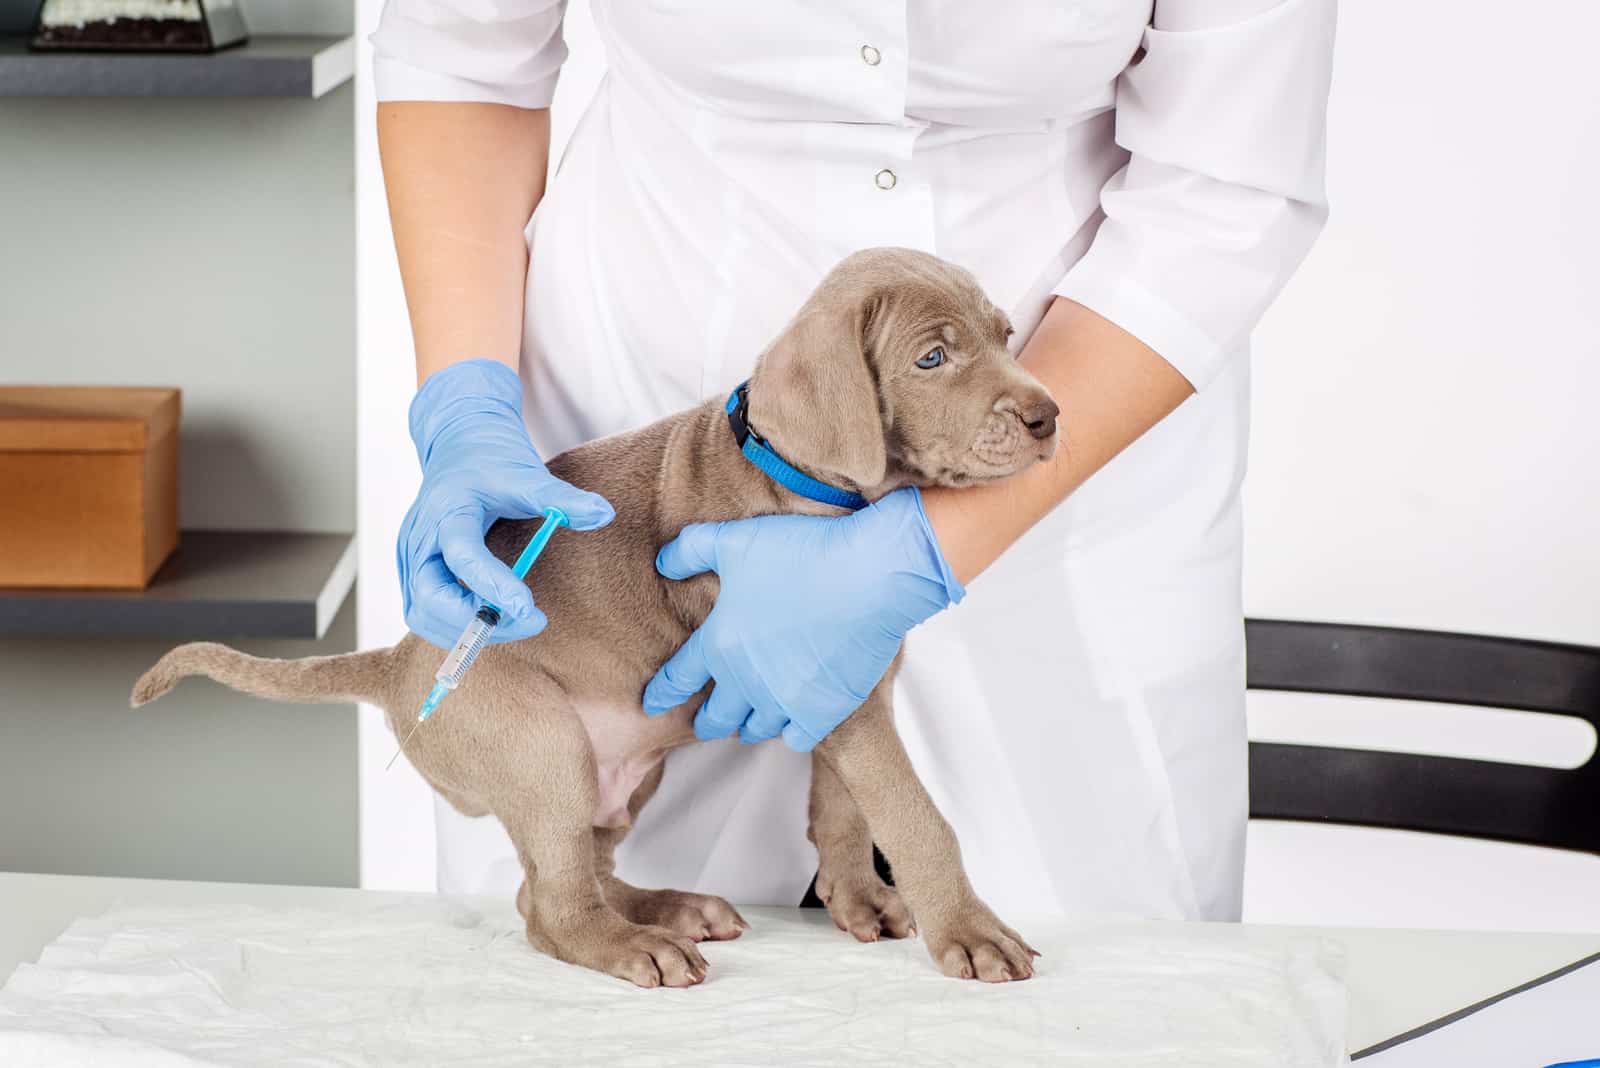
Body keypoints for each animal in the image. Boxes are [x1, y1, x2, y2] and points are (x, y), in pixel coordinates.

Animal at [134, 246, 1062, 991]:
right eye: (932, 357)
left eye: (1007, 334)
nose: (1049, 415)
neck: (813, 485)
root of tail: (400, 661)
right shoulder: (847, 700)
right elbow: (912, 812)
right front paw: (970, 930)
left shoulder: (845, 671)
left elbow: (845, 804)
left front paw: (861, 894)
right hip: (541, 744)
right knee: (549, 905)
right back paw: (633, 945)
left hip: (622, 771)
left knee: (562, 871)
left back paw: (668, 909)